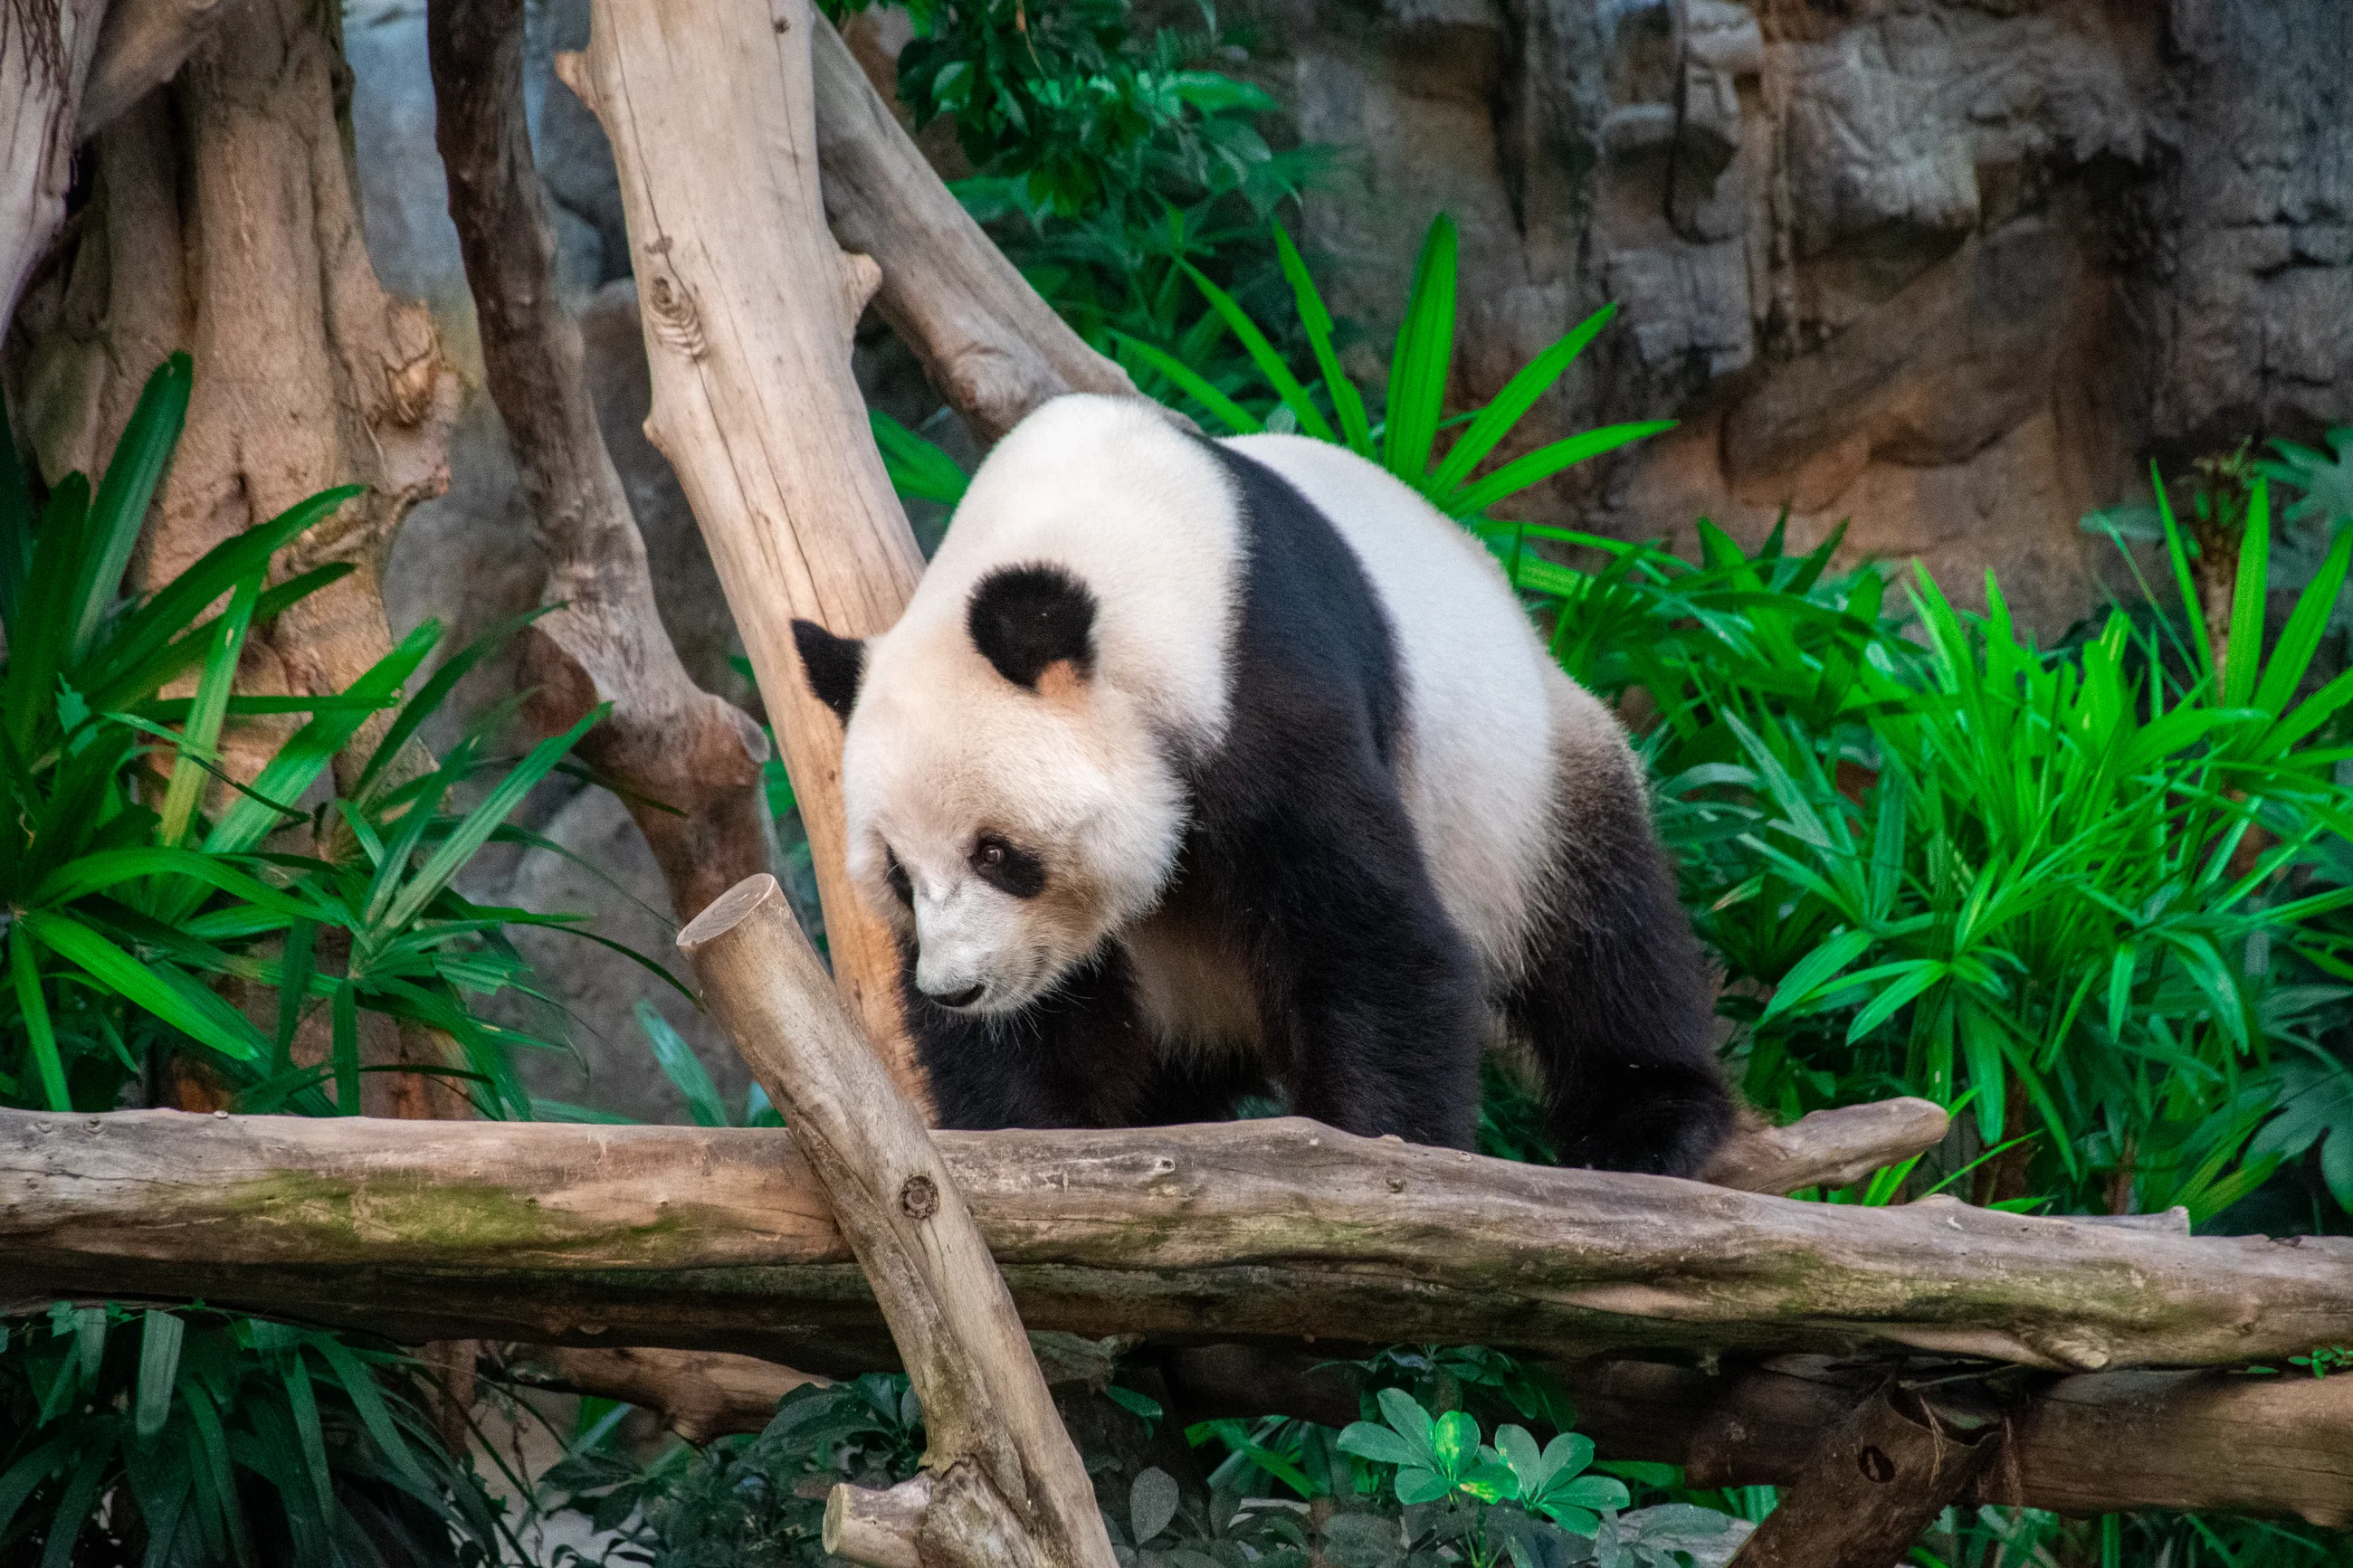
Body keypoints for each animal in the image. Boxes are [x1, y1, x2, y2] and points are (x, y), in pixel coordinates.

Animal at [790, 394, 1732, 1175]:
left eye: (997, 853)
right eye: (899, 875)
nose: (959, 988)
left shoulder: (1263, 686)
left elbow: (1367, 932)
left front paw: (1392, 1144)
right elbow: (1029, 1035)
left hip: (1524, 779)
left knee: (1601, 933)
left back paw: (1648, 1123)